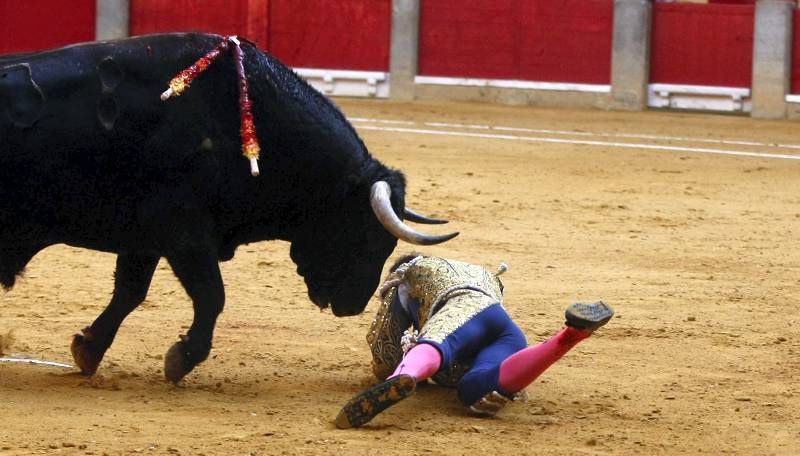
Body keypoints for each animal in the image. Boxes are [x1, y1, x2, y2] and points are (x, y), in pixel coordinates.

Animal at [0, 33, 460, 382]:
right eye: (366, 234)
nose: (354, 304)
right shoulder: (184, 233)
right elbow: (211, 295)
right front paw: (181, 359)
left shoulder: (144, 239)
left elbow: (129, 292)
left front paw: (88, 349)